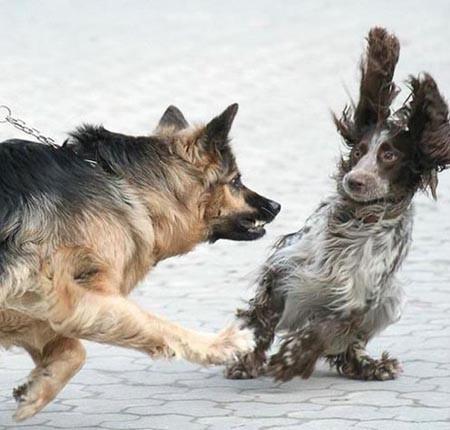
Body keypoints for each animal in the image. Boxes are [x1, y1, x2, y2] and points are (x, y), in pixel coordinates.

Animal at [0, 104, 280, 420]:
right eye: (235, 181)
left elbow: (72, 351)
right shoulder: (69, 297)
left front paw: (38, 388)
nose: (276, 206)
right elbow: (160, 326)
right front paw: (222, 345)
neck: (121, 181)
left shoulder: (36, 304)